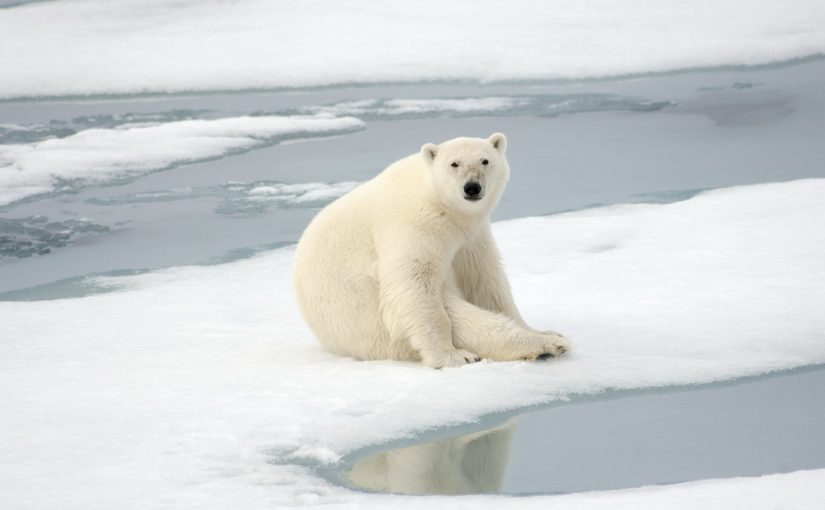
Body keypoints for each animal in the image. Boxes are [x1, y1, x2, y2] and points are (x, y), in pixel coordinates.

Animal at [292, 134, 568, 366]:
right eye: (454, 164)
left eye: (485, 160)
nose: (472, 187)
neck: (442, 205)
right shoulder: (414, 224)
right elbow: (413, 283)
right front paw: (451, 356)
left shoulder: (471, 236)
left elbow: (485, 281)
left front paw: (537, 328)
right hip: (373, 325)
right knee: (460, 318)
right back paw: (542, 346)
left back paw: (551, 338)